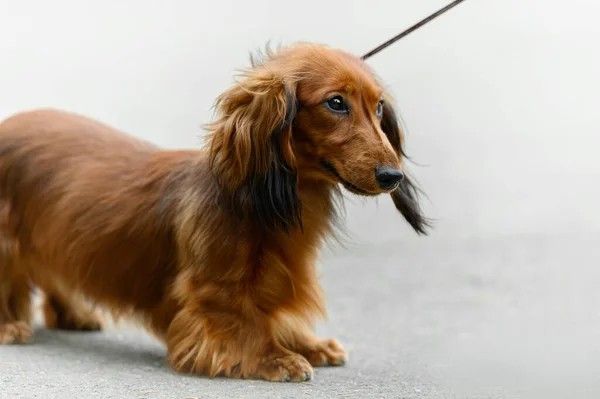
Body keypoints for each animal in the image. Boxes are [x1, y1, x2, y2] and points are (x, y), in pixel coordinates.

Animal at [0, 42, 426, 382]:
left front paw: (307, 344)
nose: (392, 176)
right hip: (8, 241)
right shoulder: (213, 289)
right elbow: (241, 321)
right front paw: (274, 358)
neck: (254, 202)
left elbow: (271, 314)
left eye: (379, 106)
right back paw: (10, 325)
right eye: (336, 102)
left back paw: (74, 313)